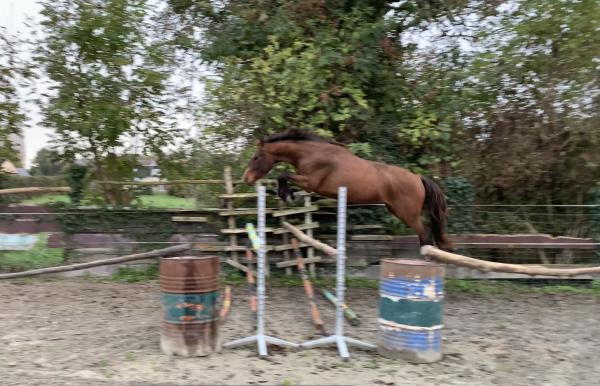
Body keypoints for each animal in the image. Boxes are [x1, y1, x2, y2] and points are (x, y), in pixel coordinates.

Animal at [244, 130, 450, 250]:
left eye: (256, 157)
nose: (246, 178)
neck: (311, 154)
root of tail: (418, 178)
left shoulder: (310, 183)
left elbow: (283, 175)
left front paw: (287, 195)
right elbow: (283, 176)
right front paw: (287, 194)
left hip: (408, 215)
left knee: (425, 235)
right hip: (395, 210)